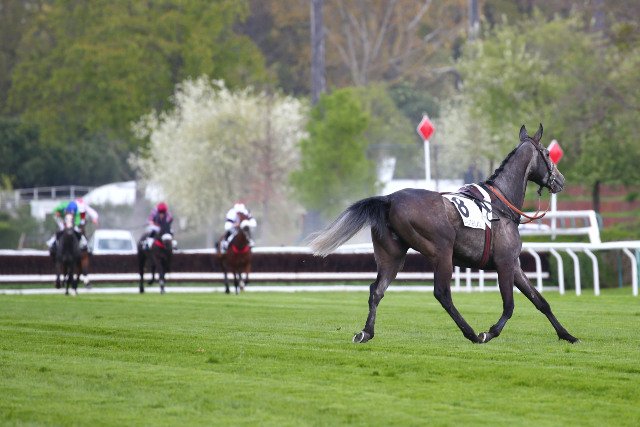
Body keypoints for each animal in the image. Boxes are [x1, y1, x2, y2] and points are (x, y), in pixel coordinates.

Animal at [309, 124, 578, 345]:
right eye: (547, 153)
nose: (561, 180)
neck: (501, 205)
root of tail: (389, 199)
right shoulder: (504, 262)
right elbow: (509, 305)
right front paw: (489, 332)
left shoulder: (514, 264)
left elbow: (540, 301)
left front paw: (567, 335)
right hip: (442, 253)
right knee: (442, 293)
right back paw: (470, 333)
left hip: (391, 256)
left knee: (377, 290)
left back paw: (366, 332)